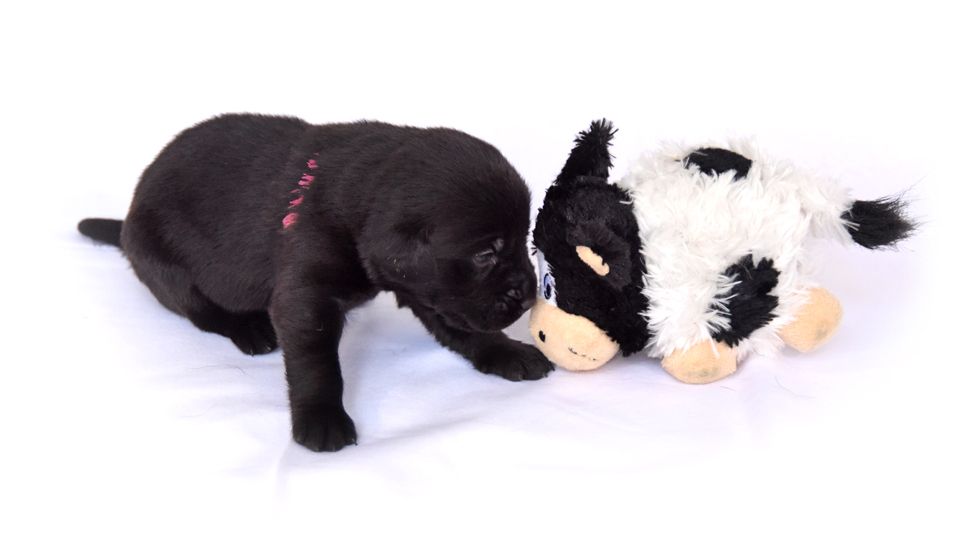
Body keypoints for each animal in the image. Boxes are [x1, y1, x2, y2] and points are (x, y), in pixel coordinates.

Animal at [80, 114, 552, 450]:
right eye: (485, 254)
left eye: (522, 241)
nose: (528, 294)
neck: (361, 203)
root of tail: (127, 219)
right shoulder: (305, 297)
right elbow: (316, 363)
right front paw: (321, 417)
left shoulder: (432, 291)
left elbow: (466, 328)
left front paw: (508, 352)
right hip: (167, 267)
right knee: (203, 310)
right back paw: (250, 328)